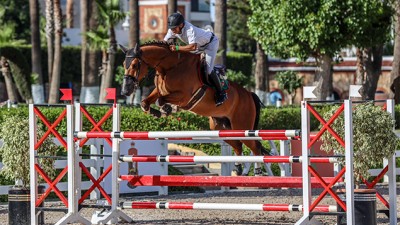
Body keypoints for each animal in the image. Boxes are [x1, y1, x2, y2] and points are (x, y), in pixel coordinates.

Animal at [119, 41, 268, 177]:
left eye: (134, 65)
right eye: (123, 65)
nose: (125, 90)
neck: (170, 67)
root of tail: (249, 94)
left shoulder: (184, 96)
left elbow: (160, 100)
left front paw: (168, 109)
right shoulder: (159, 91)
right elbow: (145, 102)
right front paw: (158, 112)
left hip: (241, 125)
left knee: (255, 147)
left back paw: (258, 173)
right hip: (222, 127)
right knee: (238, 145)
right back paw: (237, 170)